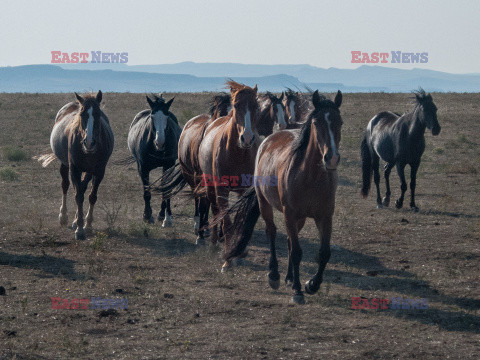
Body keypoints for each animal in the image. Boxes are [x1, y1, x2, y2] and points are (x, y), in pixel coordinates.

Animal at [46, 91, 114, 240]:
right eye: (82, 114)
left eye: (98, 114)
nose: (89, 142)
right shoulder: (74, 169)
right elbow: (78, 195)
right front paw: (80, 229)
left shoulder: (98, 171)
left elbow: (91, 195)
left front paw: (87, 225)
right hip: (65, 165)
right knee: (66, 185)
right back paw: (64, 217)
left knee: (82, 188)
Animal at [127, 94, 182, 226]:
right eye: (152, 116)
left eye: (167, 116)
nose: (160, 142)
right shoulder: (143, 168)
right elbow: (147, 192)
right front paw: (147, 216)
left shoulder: (169, 166)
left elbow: (166, 189)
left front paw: (167, 218)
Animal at [198, 81, 260, 268]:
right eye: (236, 105)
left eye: (256, 105)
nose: (247, 138)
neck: (237, 153)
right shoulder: (222, 190)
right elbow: (226, 221)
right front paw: (227, 259)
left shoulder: (244, 190)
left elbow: (240, 220)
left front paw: (239, 253)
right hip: (211, 187)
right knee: (215, 211)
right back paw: (212, 242)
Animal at [219, 90, 344, 304]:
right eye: (316, 122)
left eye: (340, 122)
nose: (332, 158)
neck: (310, 177)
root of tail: (269, 138)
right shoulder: (290, 214)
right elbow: (296, 252)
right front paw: (298, 290)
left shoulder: (324, 216)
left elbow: (324, 253)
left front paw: (311, 284)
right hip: (266, 205)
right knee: (272, 233)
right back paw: (275, 275)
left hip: (299, 218)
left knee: (288, 241)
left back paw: (288, 277)